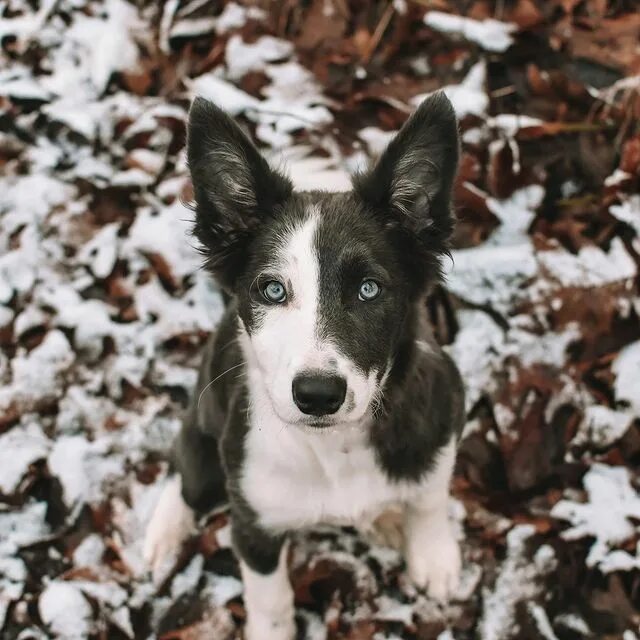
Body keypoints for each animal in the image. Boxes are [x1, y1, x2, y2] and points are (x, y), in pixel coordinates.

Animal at [145, 91, 464, 640]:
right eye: (272, 290)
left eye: (369, 289)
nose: (318, 395)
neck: (334, 447)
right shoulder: (252, 524)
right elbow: (270, 599)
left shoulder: (442, 420)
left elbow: (429, 495)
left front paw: (433, 554)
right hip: (207, 435)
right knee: (184, 470)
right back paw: (164, 530)